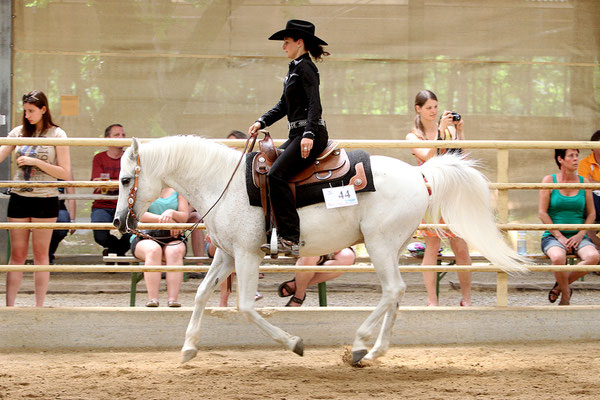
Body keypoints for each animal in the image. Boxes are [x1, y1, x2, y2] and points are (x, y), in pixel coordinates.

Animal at [111, 136, 524, 364]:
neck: (222, 184)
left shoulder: (246, 255)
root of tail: (419, 174)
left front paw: (294, 344)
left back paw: (359, 345)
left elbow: (245, 307)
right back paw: (375, 352)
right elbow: (199, 295)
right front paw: (188, 349)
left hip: (378, 244)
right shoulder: (226, 255)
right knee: (397, 294)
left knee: (393, 290)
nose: (117, 223)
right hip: (391, 247)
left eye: (126, 179)